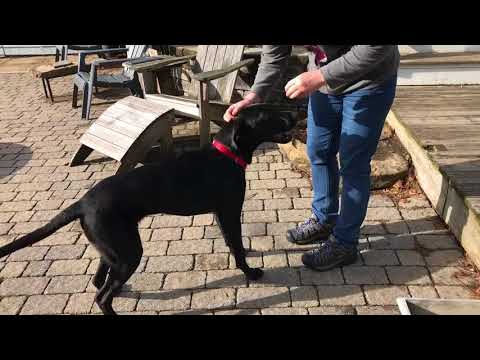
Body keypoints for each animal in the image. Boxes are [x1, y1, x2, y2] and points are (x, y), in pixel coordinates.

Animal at [0, 103, 298, 316]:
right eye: (267, 116)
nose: (294, 115)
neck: (226, 154)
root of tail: (82, 202)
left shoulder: (221, 213)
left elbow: (231, 242)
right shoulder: (230, 210)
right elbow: (236, 246)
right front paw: (250, 272)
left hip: (114, 248)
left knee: (99, 281)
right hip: (129, 252)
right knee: (102, 296)